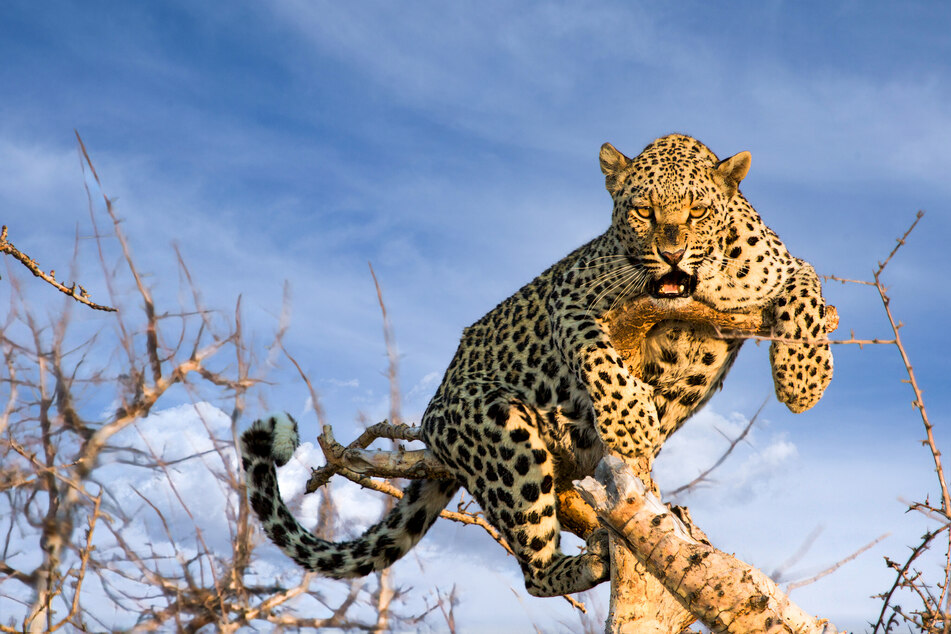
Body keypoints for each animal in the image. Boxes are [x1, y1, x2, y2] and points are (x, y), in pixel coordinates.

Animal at [240, 131, 832, 596]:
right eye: (643, 212)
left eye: (697, 211)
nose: (671, 253)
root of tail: (432, 420)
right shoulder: (568, 296)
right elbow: (594, 350)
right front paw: (631, 422)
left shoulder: (786, 265)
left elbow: (809, 295)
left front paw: (803, 381)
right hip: (504, 435)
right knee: (532, 565)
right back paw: (586, 560)